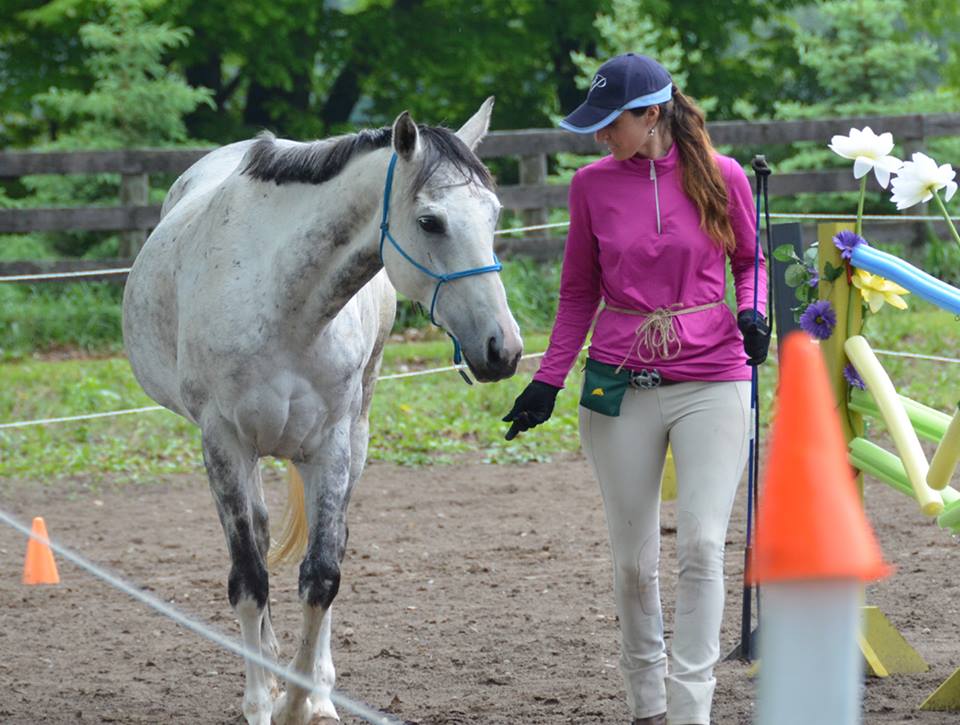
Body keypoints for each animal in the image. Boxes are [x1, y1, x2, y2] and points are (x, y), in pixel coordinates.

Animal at [122, 98, 523, 725]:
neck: (283, 300)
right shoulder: (224, 443)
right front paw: (262, 702)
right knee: (260, 542)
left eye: (494, 214)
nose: (502, 348)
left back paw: (320, 689)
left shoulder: (331, 443)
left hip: (353, 435)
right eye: (431, 222)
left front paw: (303, 700)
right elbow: (249, 579)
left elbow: (322, 575)